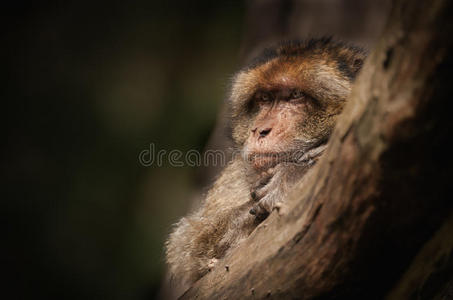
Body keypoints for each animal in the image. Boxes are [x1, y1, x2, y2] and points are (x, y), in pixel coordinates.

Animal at [164, 38, 366, 290]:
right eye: (264, 98)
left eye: (296, 95)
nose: (260, 130)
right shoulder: (234, 175)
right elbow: (186, 244)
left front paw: (295, 174)